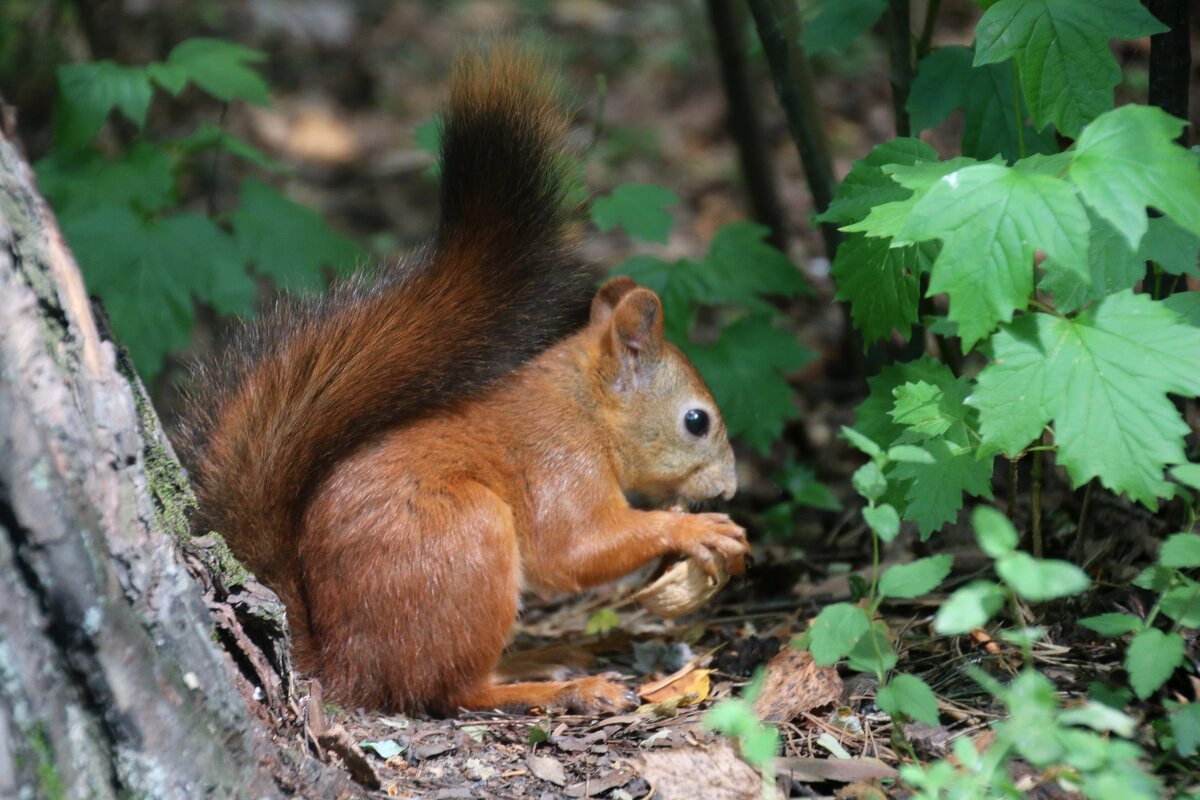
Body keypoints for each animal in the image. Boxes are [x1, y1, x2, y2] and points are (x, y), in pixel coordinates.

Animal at [177, 47, 744, 714]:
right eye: (696, 421)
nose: (729, 489)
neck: (585, 406)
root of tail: (346, 665)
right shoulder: (561, 465)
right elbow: (574, 550)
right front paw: (694, 528)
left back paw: (547, 657)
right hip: (468, 539)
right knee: (456, 690)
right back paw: (561, 683)